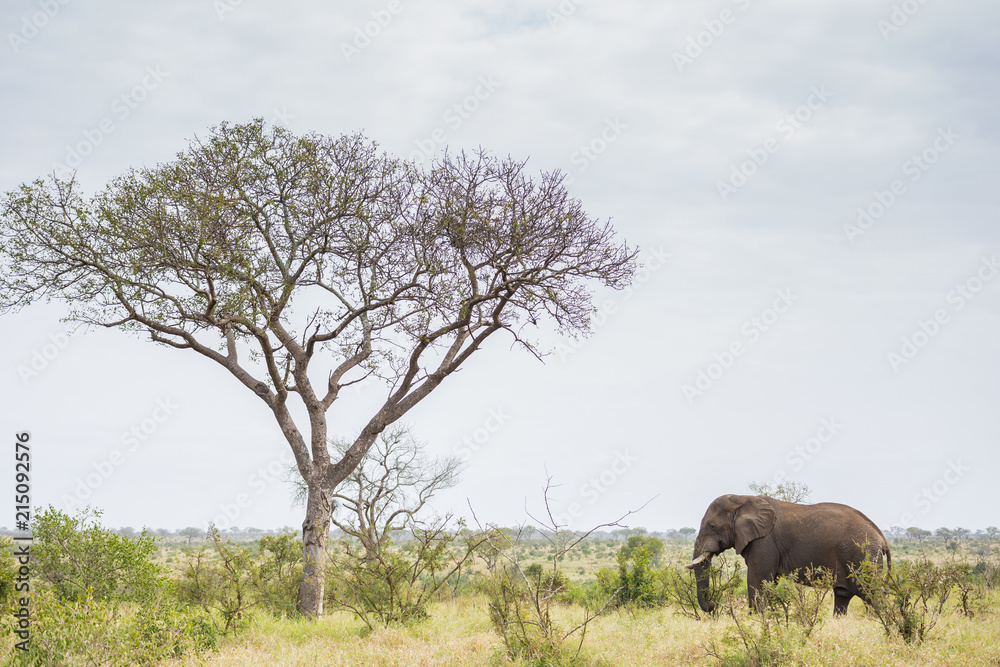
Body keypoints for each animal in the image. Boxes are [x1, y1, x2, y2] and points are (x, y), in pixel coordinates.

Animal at [686, 494, 890, 615]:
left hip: (863, 558)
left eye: (712, 526)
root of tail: (881, 537)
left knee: (871, 595)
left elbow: (757, 580)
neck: (742, 498)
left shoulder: (764, 542)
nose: (713, 604)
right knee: (842, 596)